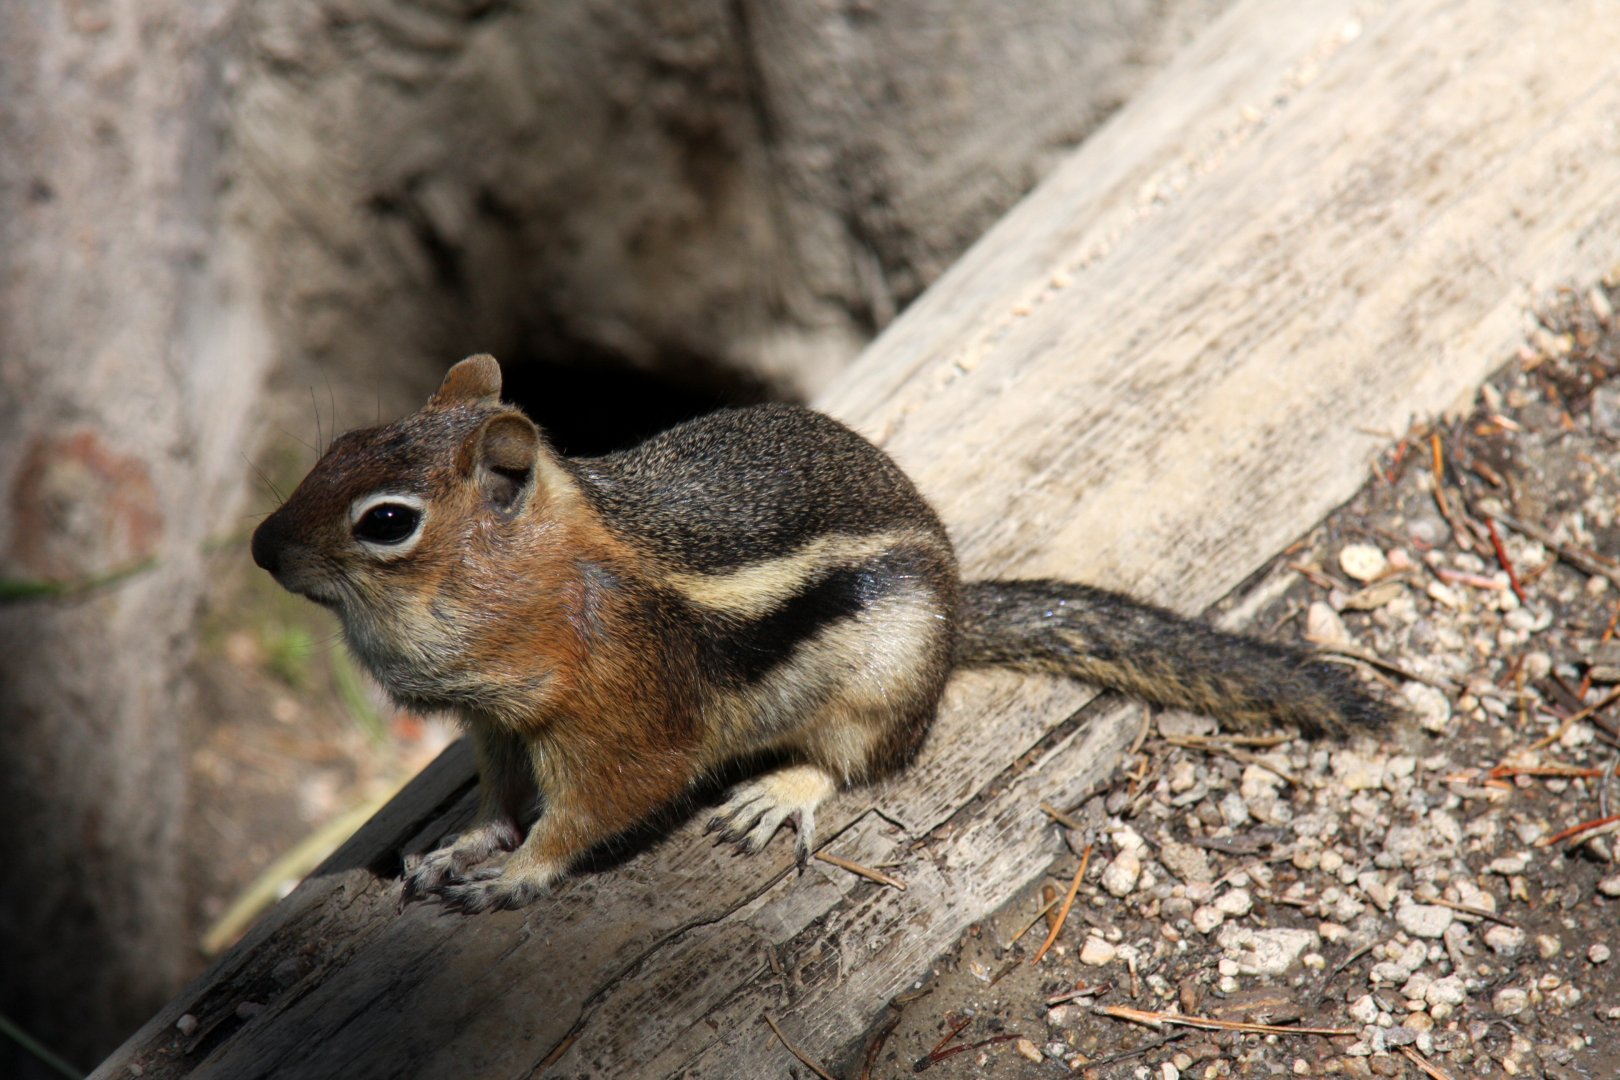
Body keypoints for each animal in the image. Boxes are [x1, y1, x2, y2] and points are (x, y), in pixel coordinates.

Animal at [251, 354, 1392, 912]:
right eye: (340, 448)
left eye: (386, 522)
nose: (261, 548)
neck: (545, 588)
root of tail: (957, 602)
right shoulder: (494, 728)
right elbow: (498, 795)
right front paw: (466, 842)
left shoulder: (621, 722)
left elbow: (595, 811)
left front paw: (520, 873)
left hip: (880, 680)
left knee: (856, 760)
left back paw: (779, 791)